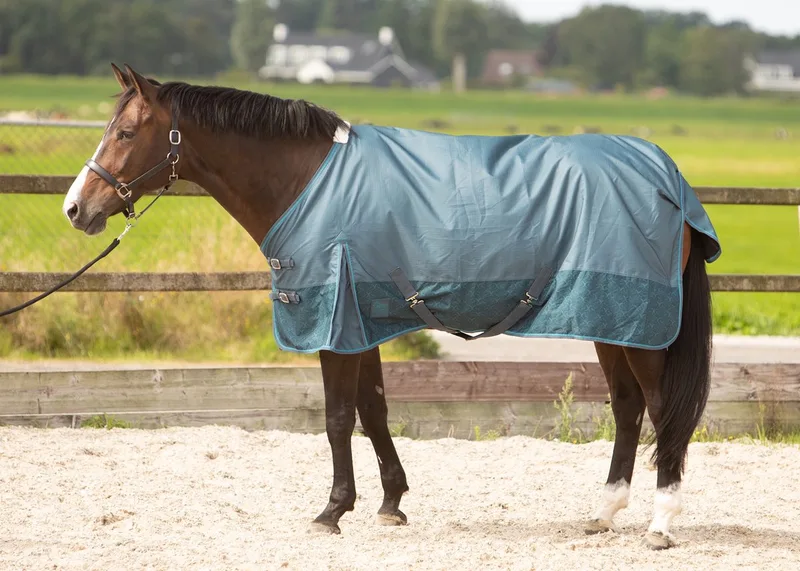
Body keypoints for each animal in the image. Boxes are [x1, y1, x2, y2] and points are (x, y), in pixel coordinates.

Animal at [62, 64, 720, 549]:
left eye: (124, 134)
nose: (76, 208)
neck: (308, 182)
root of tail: (667, 176)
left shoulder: (332, 324)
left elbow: (336, 417)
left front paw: (331, 511)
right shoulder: (361, 322)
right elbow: (374, 410)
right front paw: (390, 503)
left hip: (642, 327)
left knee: (662, 409)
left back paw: (660, 524)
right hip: (613, 320)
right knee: (629, 408)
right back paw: (604, 513)